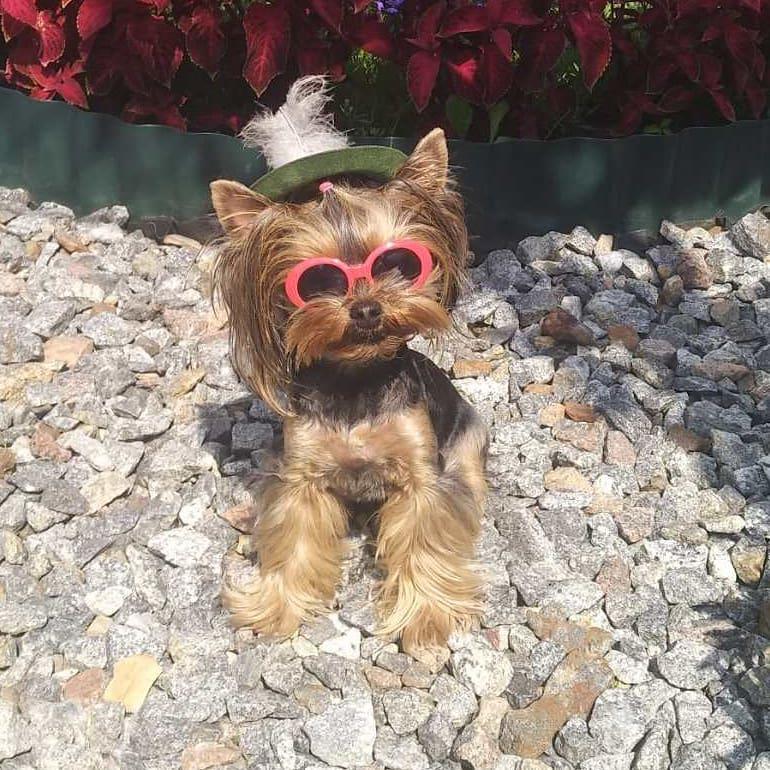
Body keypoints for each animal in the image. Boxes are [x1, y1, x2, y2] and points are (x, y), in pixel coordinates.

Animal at [210, 85, 486, 648]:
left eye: (398, 264)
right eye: (317, 281)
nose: (365, 308)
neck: (357, 379)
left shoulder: (421, 476)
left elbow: (424, 540)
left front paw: (426, 614)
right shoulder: (302, 480)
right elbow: (294, 541)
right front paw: (276, 605)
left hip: (468, 437)